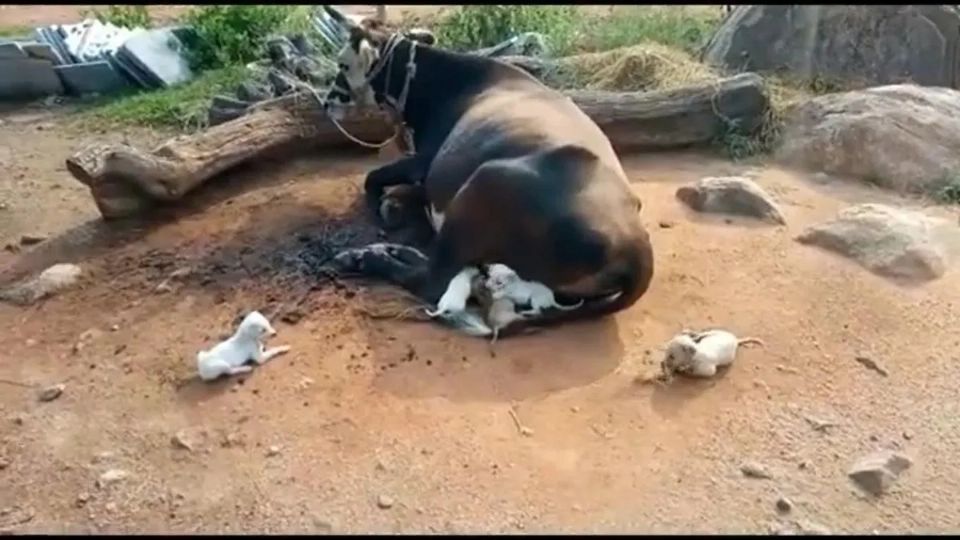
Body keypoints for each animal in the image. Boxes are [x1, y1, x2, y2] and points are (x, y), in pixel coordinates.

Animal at [318, 6, 656, 338]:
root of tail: (636, 247)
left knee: (433, 278)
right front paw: (393, 204)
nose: (327, 103)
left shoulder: (424, 161)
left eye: (342, 64)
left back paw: (363, 256)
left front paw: (384, 207)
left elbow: (373, 178)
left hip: (484, 181)